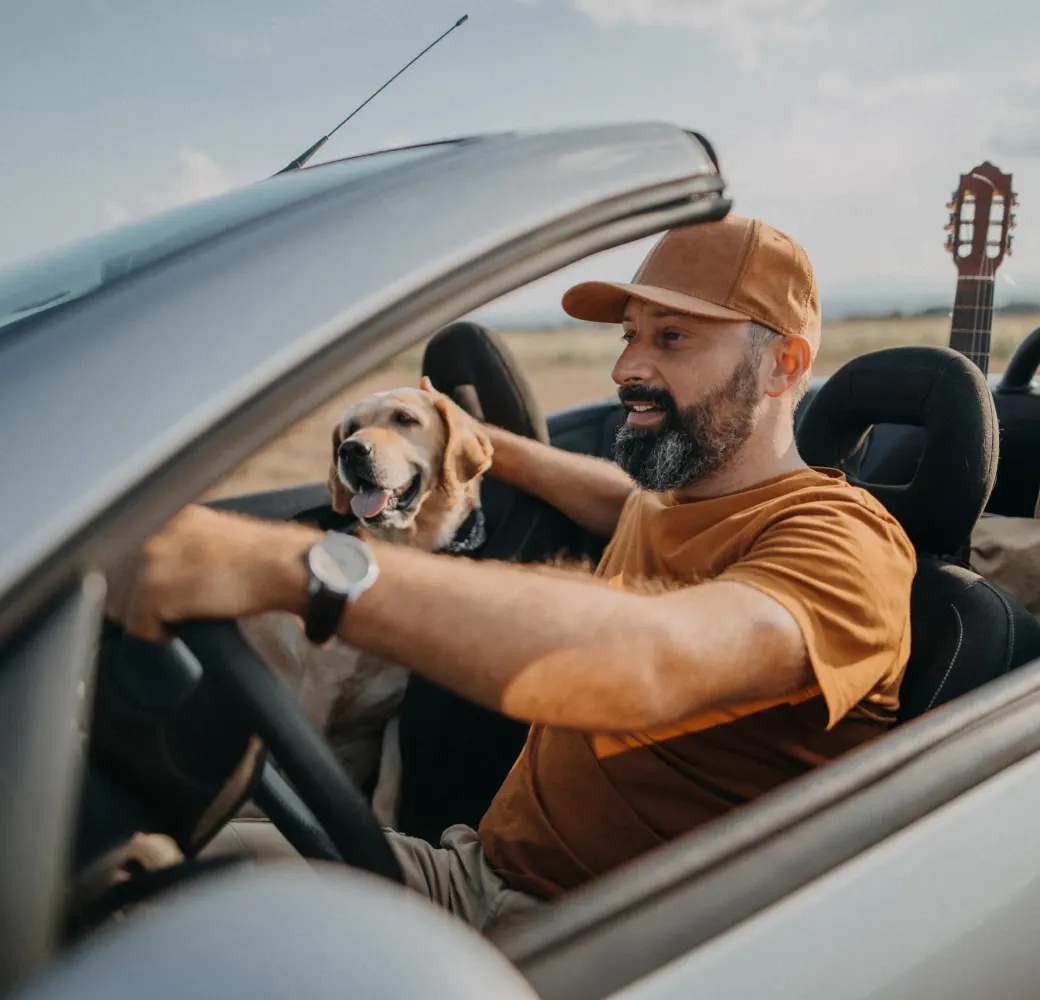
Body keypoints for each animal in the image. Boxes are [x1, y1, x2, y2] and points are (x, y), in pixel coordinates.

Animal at [241, 378, 492, 823]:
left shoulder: (398, 712)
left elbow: (388, 788)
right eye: (350, 429)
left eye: (404, 419)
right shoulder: (316, 698)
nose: (351, 451)